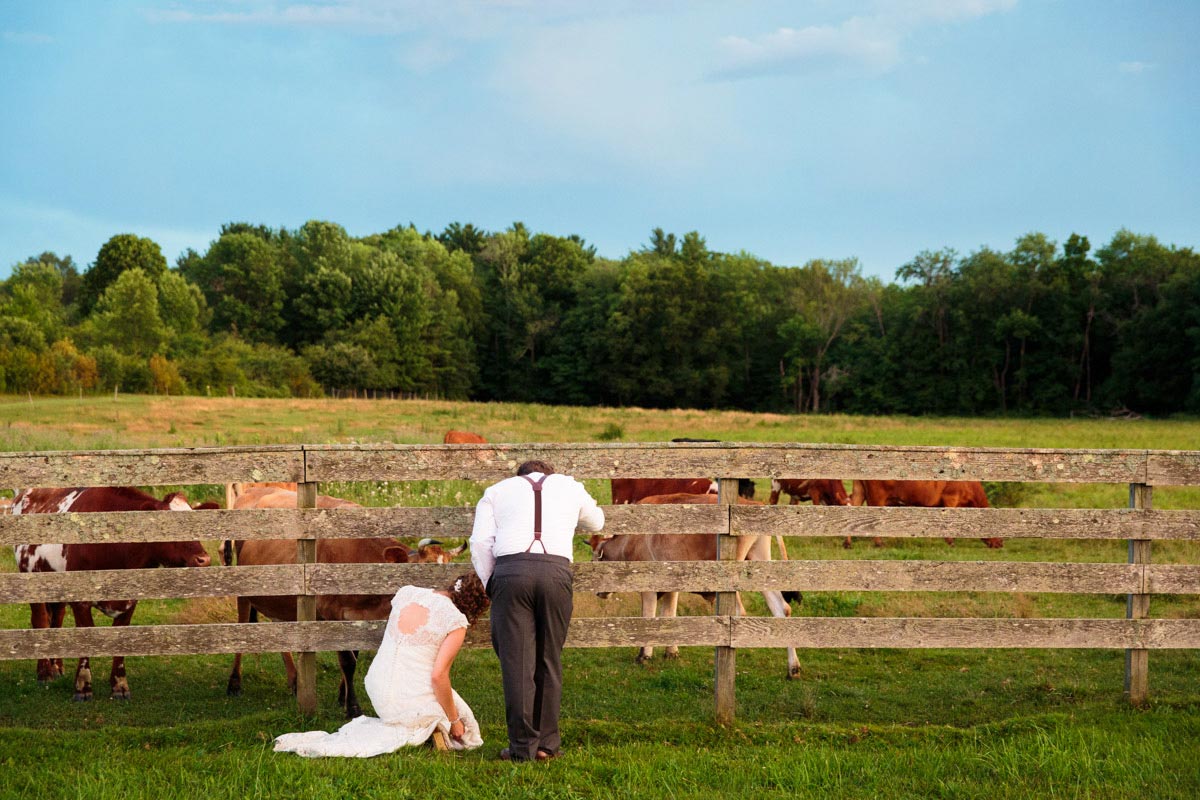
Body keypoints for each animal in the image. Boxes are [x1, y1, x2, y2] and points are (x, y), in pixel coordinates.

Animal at [10, 482, 212, 700]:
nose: (204, 559)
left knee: (57, 619)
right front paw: (83, 687)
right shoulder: (80, 600)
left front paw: (120, 685)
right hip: (31, 579)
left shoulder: (131, 599)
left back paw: (57, 667)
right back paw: (45, 672)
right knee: (40, 621)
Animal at [223, 484, 465, 714]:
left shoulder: (358, 618)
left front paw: (342, 696)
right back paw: (234, 683)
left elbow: (353, 654)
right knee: (241, 629)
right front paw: (352, 706)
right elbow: (347, 661)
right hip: (242, 586)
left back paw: (294, 681)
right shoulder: (334, 614)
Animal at [588, 491, 801, 681]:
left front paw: (643, 655)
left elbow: (648, 617)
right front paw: (671, 652)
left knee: (739, 612)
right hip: (759, 560)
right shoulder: (671, 587)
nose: (598, 592)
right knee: (782, 609)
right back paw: (793, 668)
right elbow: (669, 616)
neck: (629, 540)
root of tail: (754, 504)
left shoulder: (648, 587)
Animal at [849, 482, 1008, 551]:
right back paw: (879, 543)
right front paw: (951, 542)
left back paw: (848, 543)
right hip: (877, 497)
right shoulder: (951, 499)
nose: (1000, 543)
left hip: (859, 490)